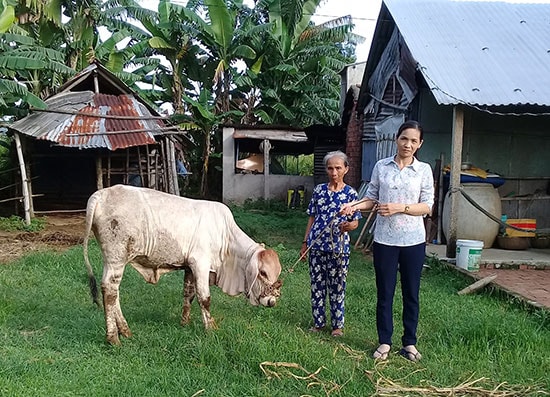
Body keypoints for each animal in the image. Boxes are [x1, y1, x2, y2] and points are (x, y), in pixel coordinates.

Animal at [83, 185, 282, 344]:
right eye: (263, 272)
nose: (272, 301)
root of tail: (101, 194)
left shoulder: (189, 268)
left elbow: (189, 295)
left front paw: (184, 323)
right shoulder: (200, 263)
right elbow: (204, 298)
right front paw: (210, 329)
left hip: (112, 260)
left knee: (112, 292)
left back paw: (125, 331)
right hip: (116, 258)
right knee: (110, 290)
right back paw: (113, 338)